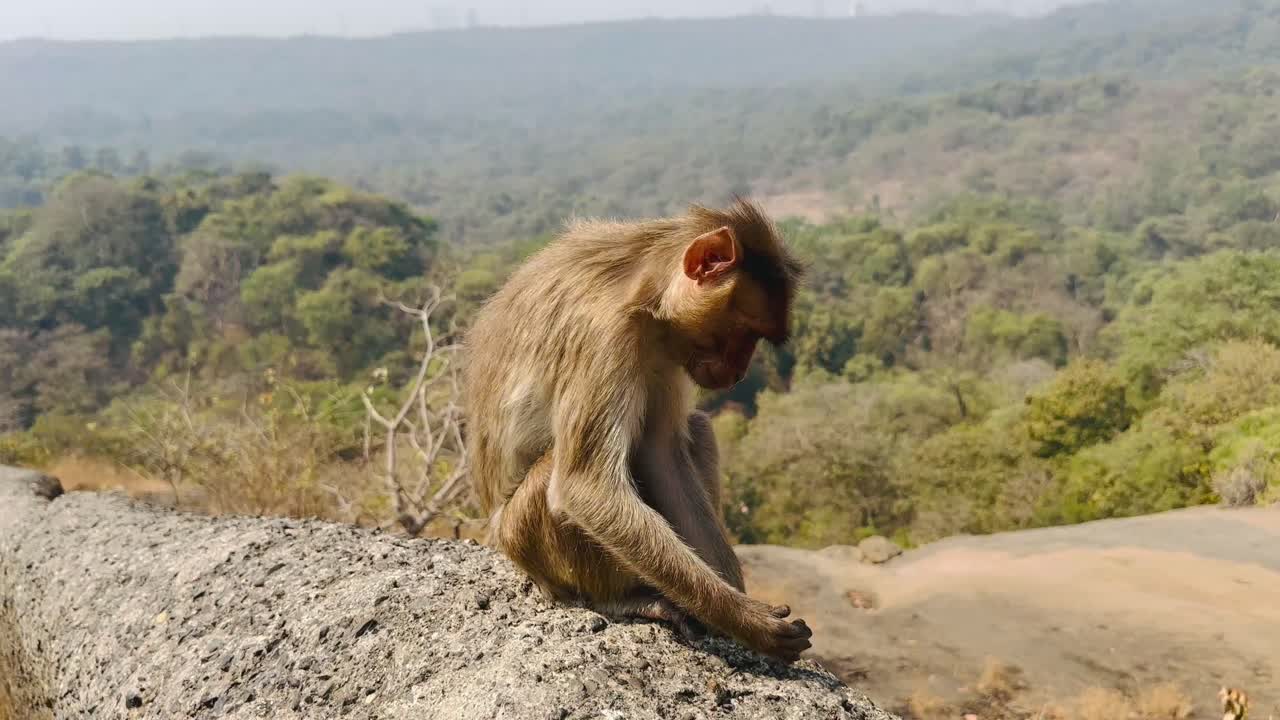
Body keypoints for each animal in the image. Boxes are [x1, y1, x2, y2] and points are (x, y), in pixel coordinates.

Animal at [463, 198, 812, 662]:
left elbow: (660, 453)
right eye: (744, 330)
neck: (646, 286)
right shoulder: (604, 335)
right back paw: (620, 599)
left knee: (695, 428)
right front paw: (746, 620)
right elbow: (586, 488)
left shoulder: (665, 348)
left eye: (756, 337)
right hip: (524, 540)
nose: (739, 373)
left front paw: (734, 604)